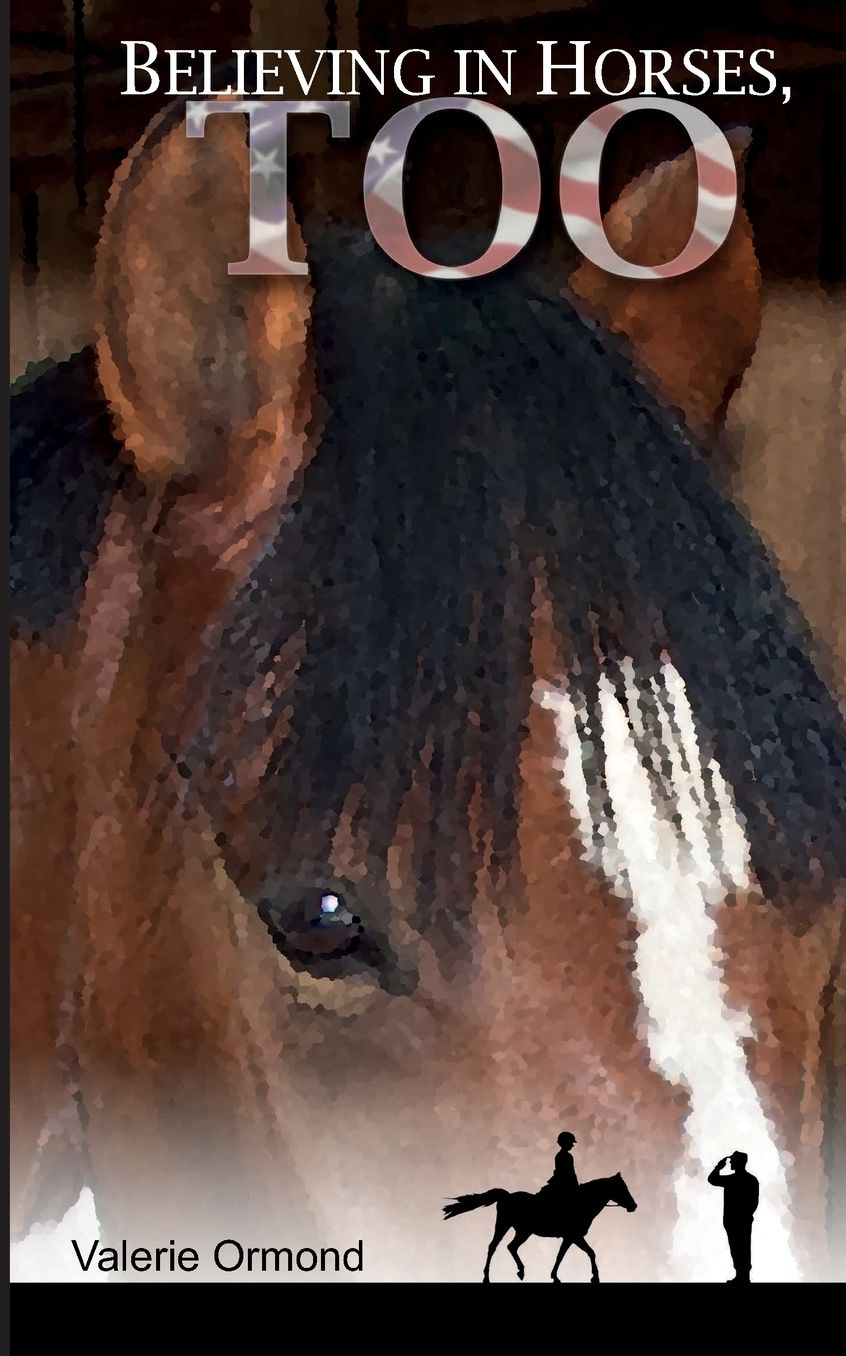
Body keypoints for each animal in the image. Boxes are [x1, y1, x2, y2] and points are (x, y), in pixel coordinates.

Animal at [444, 1174, 638, 1283]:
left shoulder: (571, 1237)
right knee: (494, 1246)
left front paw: (556, 1275)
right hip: (504, 1225)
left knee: (511, 1247)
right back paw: (486, 1276)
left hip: (523, 1231)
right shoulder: (573, 1236)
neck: (582, 1202)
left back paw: (521, 1271)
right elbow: (586, 1253)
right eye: (622, 1188)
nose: (634, 1206)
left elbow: (569, 1254)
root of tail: (506, 1196)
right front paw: (594, 1276)